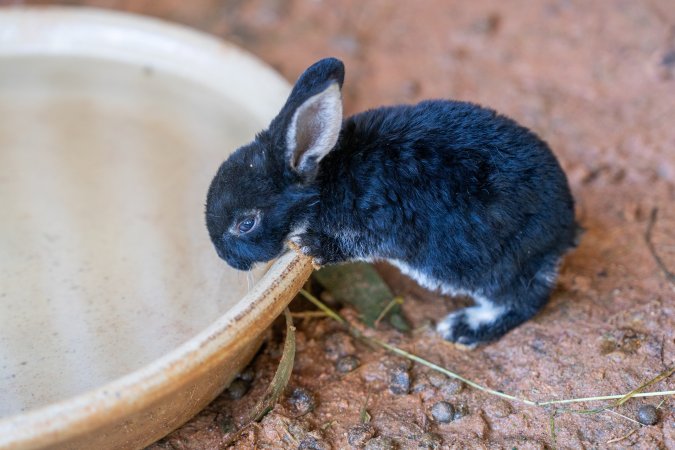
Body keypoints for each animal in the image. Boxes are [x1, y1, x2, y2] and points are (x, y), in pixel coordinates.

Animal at [206, 57, 579, 346]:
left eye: (246, 223)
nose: (224, 258)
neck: (323, 183)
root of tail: (566, 226)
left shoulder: (382, 224)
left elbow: (354, 244)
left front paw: (309, 245)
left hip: (496, 265)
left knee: (525, 299)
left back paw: (465, 327)